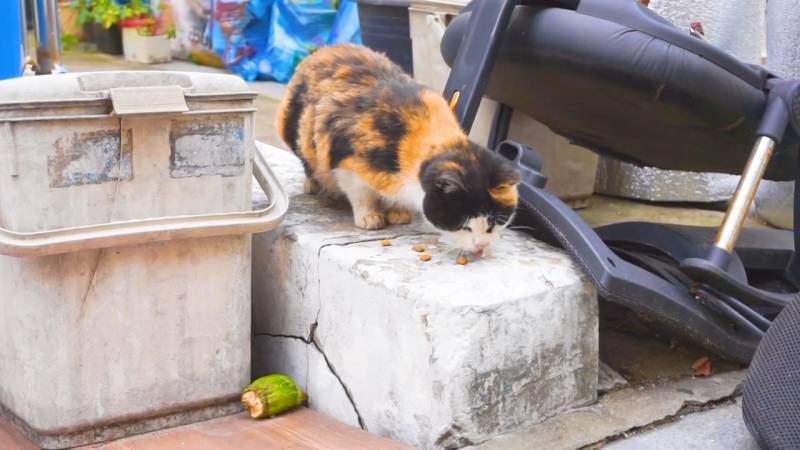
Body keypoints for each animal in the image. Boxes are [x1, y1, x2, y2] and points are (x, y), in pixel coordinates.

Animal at [278, 45, 520, 258]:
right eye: (463, 225)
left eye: (492, 224)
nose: (481, 246)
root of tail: (323, 50)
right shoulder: (348, 164)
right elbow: (361, 194)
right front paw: (370, 218)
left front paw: (399, 214)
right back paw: (313, 184)